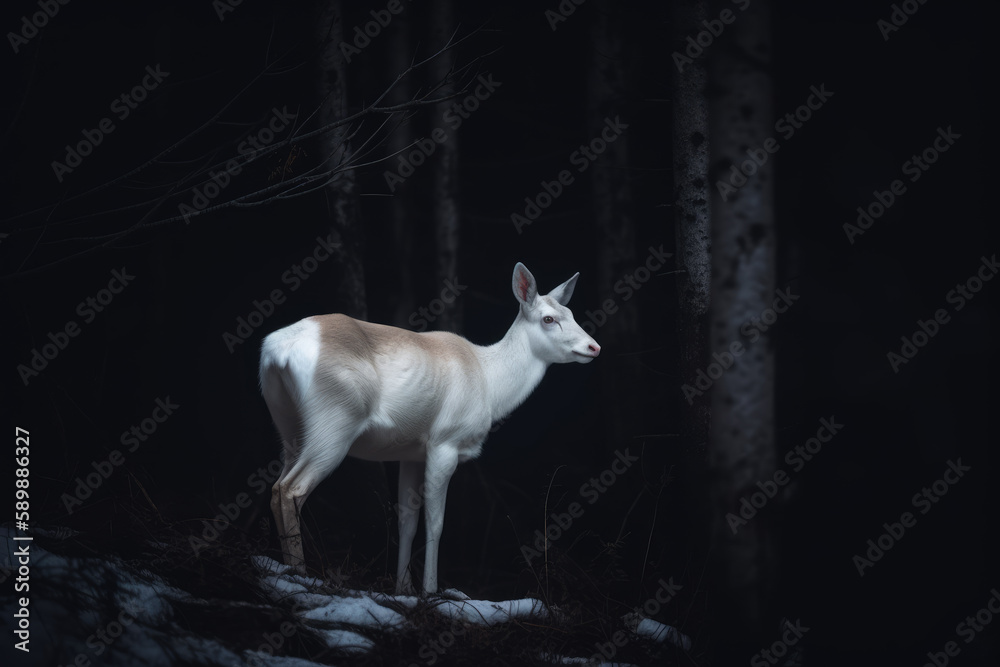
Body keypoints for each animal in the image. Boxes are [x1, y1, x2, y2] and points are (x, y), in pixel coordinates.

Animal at [259, 262, 600, 595]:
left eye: (571, 313)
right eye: (548, 319)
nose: (594, 346)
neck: (489, 382)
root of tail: (277, 352)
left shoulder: (411, 452)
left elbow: (407, 522)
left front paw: (403, 588)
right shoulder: (445, 442)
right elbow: (435, 522)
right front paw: (431, 590)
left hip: (289, 425)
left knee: (277, 487)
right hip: (335, 420)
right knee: (291, 489)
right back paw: (299, 573)